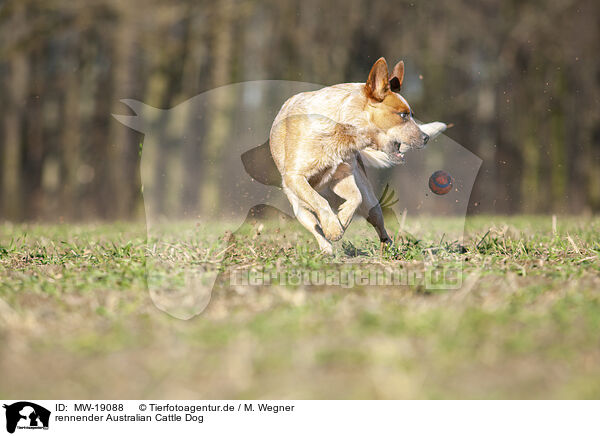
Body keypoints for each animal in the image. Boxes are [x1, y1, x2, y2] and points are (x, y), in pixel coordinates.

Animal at [268, 59, 446, 254]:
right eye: (403, 115)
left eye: (412, 115)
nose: (425, 137)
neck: (341, 130)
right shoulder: (295, 177)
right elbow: (319, 201)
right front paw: (333, 228)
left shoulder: (343, 175)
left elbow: (355, 197)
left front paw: (342, 221)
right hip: (299, 207)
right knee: (315, 224)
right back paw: (326, 248)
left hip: (371, 204)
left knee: (377, 221)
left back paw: (388, 247)